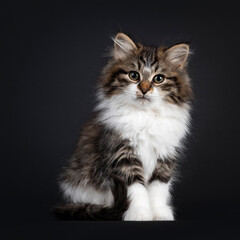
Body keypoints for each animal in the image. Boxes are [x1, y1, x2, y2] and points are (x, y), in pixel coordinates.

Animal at [53, 32, 192, 220]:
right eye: (134, 75)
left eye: (158, 79)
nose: (144, 89)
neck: (145, 116)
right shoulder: (121, 154)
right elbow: (136, 189)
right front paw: (141, 214)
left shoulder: (165, 156)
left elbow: (158, 188)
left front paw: (159, 212)